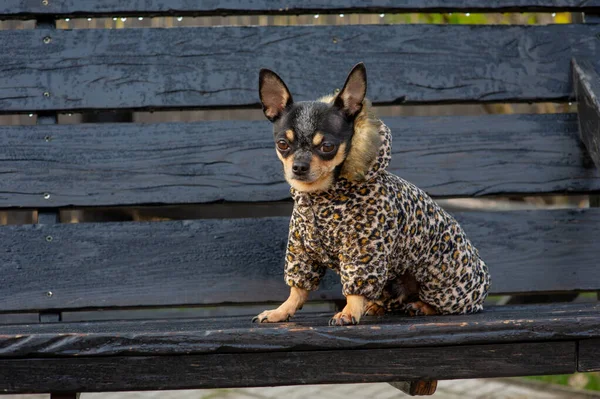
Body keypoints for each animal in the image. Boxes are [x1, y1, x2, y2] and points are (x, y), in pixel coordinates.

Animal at [251, 61, 490, 324]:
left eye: (327, 146)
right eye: (282, 144)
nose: (299, 167)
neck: (319, 197)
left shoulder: (364, 249)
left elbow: (355, 286)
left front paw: (348, 312)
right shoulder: (302, 250)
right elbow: (298, 288)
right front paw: (281, 311)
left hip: (440, 281)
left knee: (449, 305)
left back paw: (421, 306)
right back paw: (377, 306)